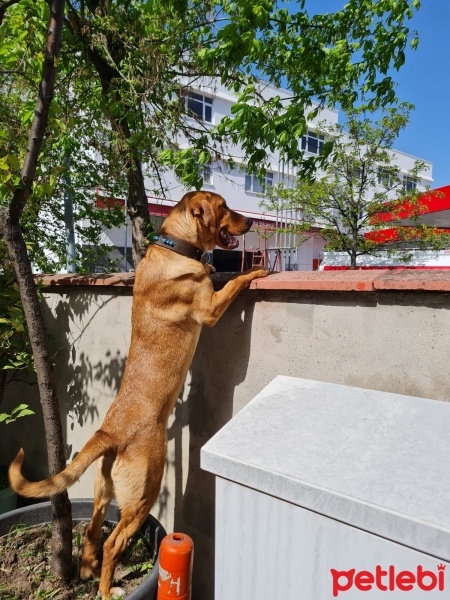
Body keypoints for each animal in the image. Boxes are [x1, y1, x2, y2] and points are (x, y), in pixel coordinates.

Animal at [8, 190, 268, 596]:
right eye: (225, 206)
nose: (253, 222)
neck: (173, 247)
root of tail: (109, 433)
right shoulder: (210, 309)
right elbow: (234, 283)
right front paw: (254, 271)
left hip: (104, 491)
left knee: (92, 531)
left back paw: (89, 573)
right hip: (145, 493)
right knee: (113, 542)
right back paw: (106, 589)